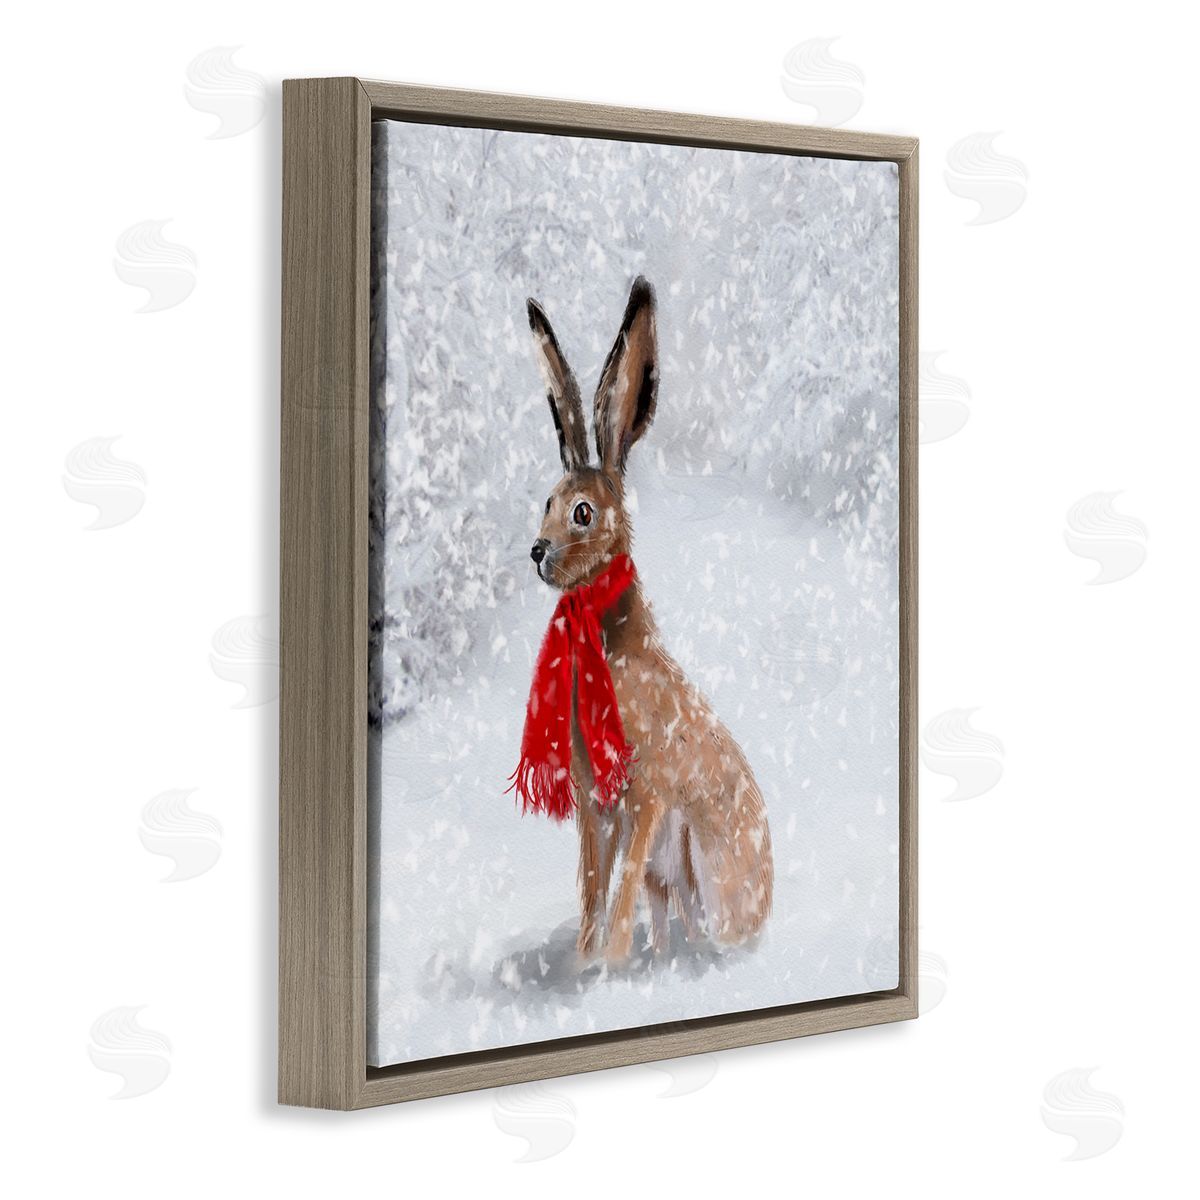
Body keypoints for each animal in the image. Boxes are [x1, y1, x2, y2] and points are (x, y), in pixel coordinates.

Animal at [524, 275, 773, 964]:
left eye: (582, 513)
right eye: (546, 501)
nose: (537, 551)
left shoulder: (649, 797)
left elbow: (618, 891)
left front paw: (604, 966)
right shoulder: (594, 807)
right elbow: (592, 888)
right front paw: (586, 966)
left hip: (695, 853)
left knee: (702, 927)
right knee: (667, 919)